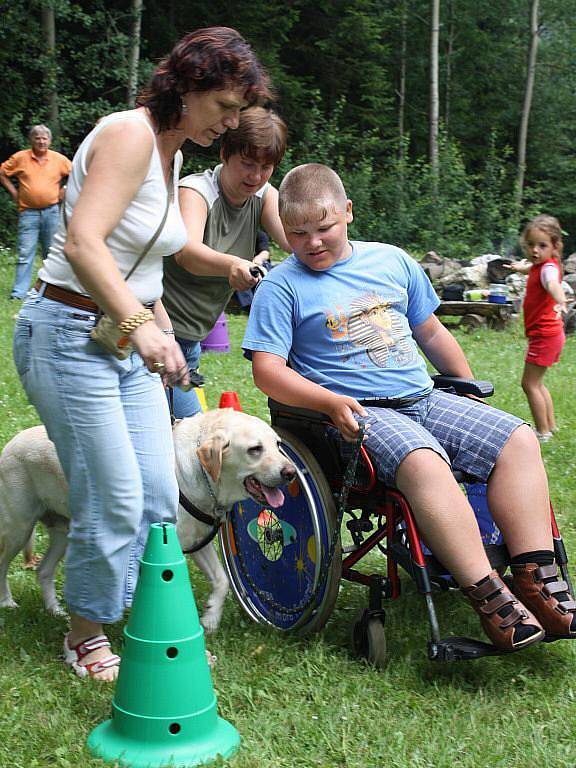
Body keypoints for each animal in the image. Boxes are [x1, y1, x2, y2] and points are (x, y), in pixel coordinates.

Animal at [0, 412, 294, 632]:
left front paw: (210, 619)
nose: (290, 472)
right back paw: (8, 604)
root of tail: (12, 442)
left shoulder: (197, 544)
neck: (199, 475)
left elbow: (221, 581)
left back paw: (56, 611)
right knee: (3, 564)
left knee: (43, 571)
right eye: (255, 449)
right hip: (18, 529)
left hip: (62, 532)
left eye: (279, 445)